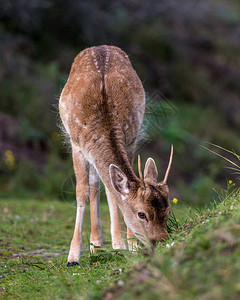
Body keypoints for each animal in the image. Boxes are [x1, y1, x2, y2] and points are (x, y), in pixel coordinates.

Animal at [59, 44, 173, 264]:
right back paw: (95, 245)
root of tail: (99, 46)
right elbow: (81, 193)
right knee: (93, 185)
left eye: (168, 210)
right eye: (142, 214)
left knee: (99, 184)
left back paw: (98, 244)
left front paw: (128, 246)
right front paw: (73, 256)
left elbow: (114, 193)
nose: (162, 240)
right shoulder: (77, 146)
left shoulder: (130, 140)